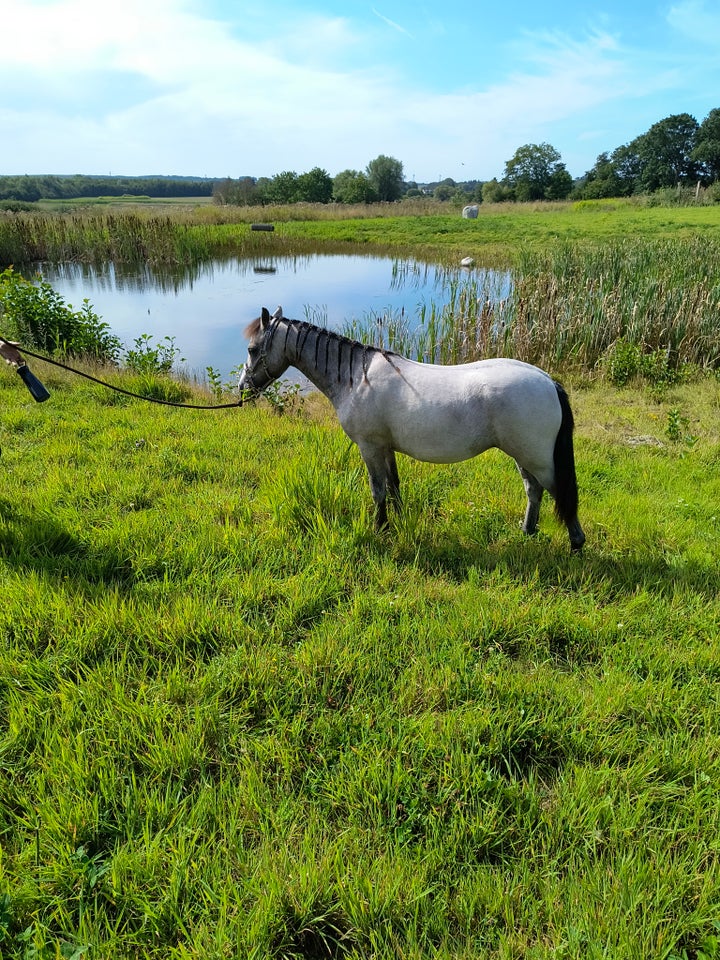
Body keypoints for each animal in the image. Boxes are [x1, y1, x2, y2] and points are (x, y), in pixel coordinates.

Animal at [238, 306, 584, 548]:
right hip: (524, 457)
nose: (242, 389)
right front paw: (399, 522)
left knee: (560, 494)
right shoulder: (386, 448)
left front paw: (379, 529)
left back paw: (576, 544)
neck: (356, 376)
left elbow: (377, 490)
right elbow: (394, 486)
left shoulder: (370, 447)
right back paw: (527, 532)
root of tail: (547, 381)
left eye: (252, 350)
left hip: (538, 459)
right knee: (533, 490)